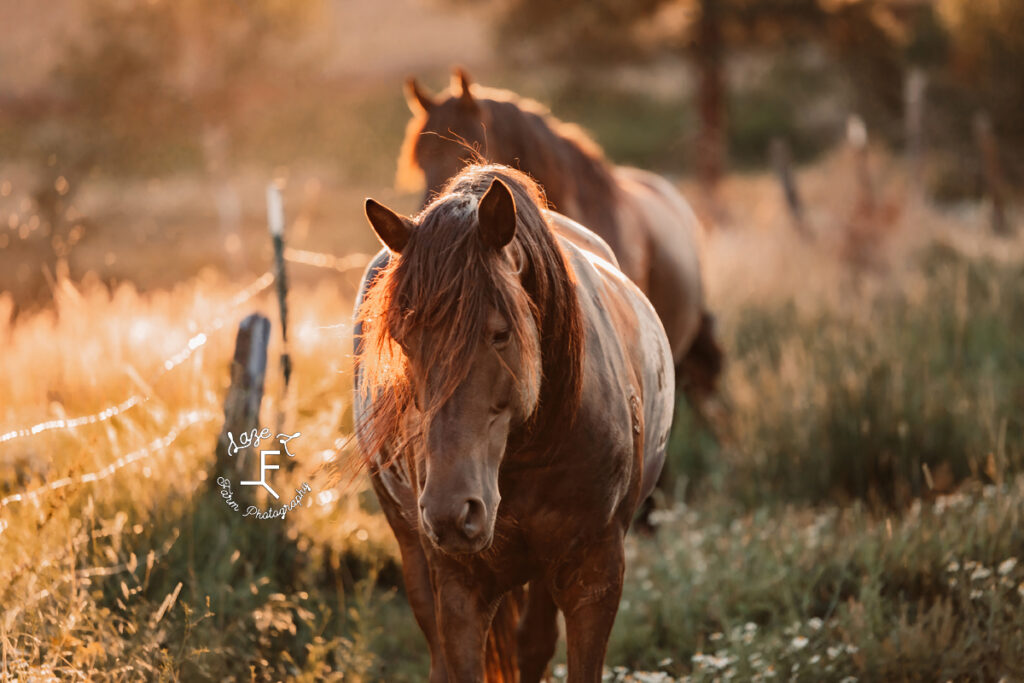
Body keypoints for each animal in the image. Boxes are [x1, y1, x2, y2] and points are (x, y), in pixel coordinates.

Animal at [356, 165, 675, 683]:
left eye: (500, 334)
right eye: (403, 340)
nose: (450, 512)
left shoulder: (596, 579)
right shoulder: (460, 589)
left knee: (534, 644)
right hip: (412, 546)